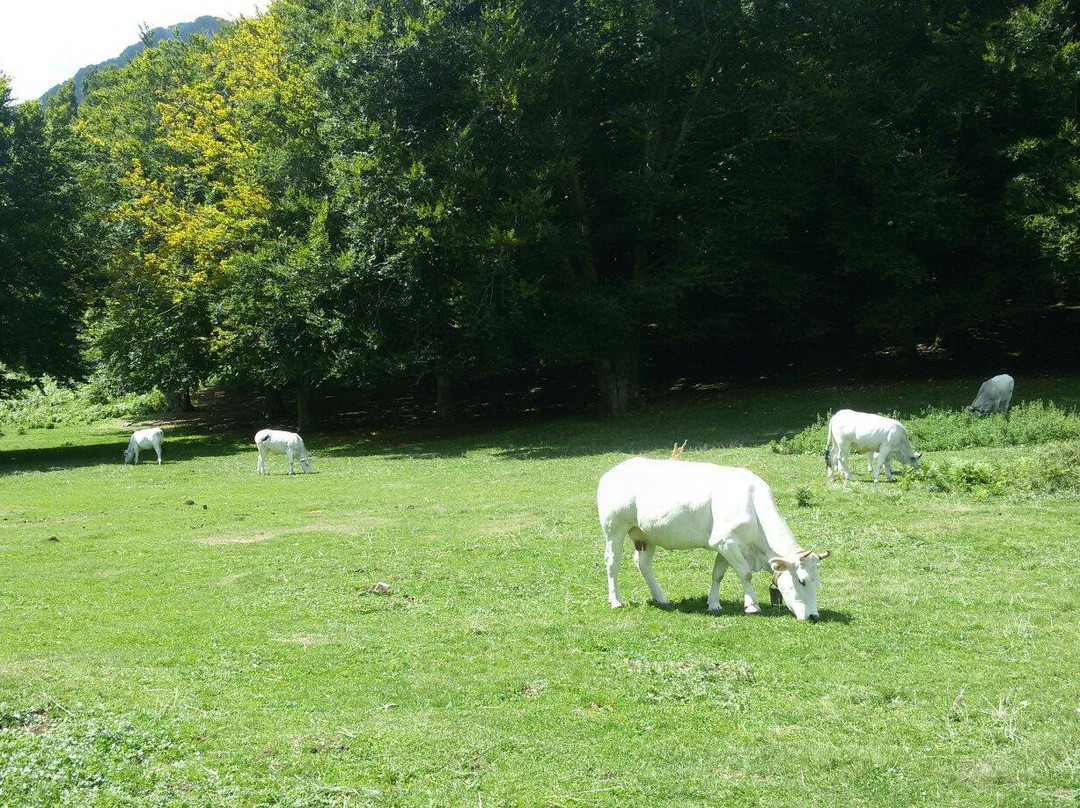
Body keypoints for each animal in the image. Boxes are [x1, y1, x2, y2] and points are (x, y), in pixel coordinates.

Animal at [596, 458, 829, 622]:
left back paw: (661, 598)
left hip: (645, 534)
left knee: (643, 563)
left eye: (817, 581)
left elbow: (718, 574)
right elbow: (745, 573)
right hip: (614, 528)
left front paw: (714, 604)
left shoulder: (724, 544)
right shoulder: (725, 541)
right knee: (612, 563)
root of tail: (612, 472)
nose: (814, 616)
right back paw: (616, 601)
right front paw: (752, 605)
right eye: (802, 580)